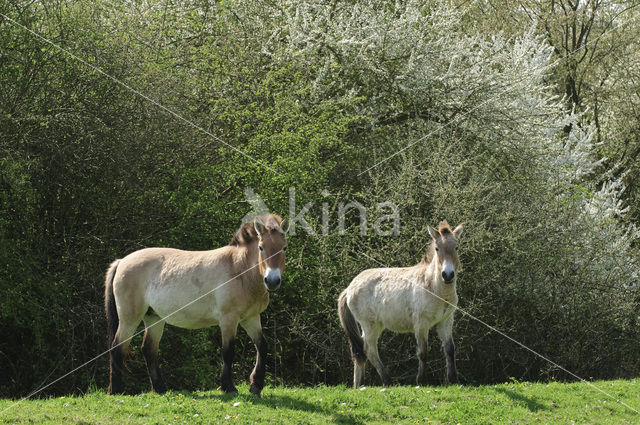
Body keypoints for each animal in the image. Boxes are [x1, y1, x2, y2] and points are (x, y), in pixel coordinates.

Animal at [104, 214, 288, 396]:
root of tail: (121, 261)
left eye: (284, 248)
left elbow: (262, 347)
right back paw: (116, 390)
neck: (239, 270)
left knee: (148, 349)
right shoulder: (228, 320)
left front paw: (256, 385)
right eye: (261, 247)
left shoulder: (251, 318)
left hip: (154, 318)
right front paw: (228, 387)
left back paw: (160, 388)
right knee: (117, 347)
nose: (272, 281)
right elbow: (228, 351)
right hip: (129, 319)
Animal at [338, 222, 462, 388]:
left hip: (373, 326)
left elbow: (449, 349)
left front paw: (453, 380)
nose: (447, 275)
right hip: (370, 325)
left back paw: (359, 385)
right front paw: (421, 381)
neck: (433, 286)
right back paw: (387, 381)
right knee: (370, 350)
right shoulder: (421, 324)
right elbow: (423, 352)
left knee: (361, 352)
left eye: (456, 247)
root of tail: (349, 287)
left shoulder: (446, 321)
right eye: (437, 248)